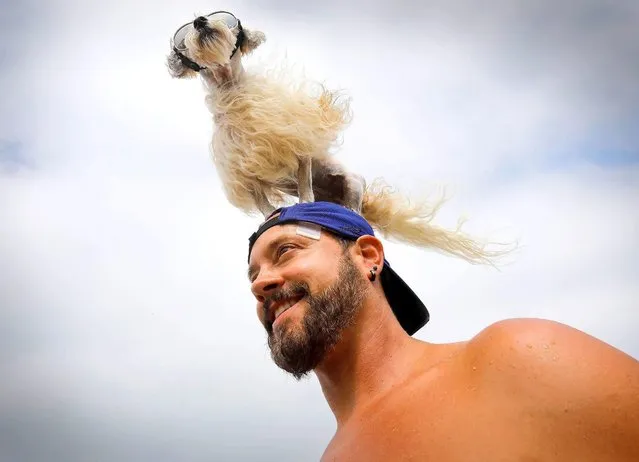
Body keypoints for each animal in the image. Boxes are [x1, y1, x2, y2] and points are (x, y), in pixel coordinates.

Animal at [166, 9, 516, 264]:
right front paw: (272, 215)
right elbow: (264, 204)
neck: (233, 93)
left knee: (355, 212)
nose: (200, 20)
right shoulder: (244, 175)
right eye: (186, 34)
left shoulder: (298, 150)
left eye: (221, 18)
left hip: (353, 185)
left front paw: (303, 204)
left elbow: (304, 186)